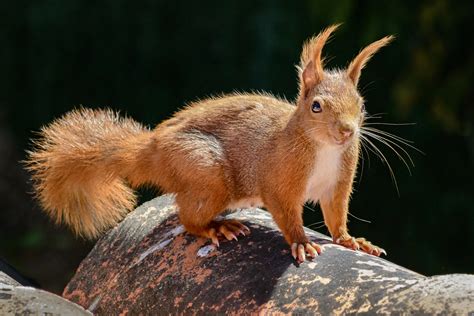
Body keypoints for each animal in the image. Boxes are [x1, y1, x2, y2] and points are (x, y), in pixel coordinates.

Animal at [25, 25, 392, 262]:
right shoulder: (280, 178)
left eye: (361, 104)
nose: (347, 131)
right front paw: (301, 243)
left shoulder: (338, 182)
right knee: (187, 219)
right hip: (206, 170)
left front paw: (352, 240)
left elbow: (336, 215)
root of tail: (152, 149)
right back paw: (217, 228)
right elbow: (287, 213)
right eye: (316, 106)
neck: (323, 148)